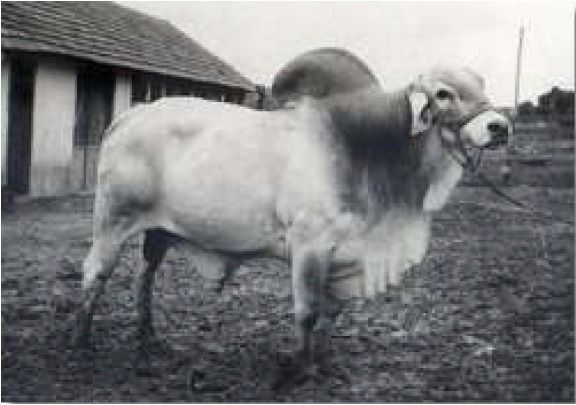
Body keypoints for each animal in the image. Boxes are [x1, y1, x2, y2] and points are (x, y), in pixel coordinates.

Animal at [75, 59, 508, 370]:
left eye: (483, 83)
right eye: (444, 92)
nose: (500, 126)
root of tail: (134, 113)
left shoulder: (342, 257)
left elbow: (332, 312)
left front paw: (325, 360)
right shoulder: (309, 245)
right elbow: (308, 312)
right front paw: (301, 366)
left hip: (158, 233)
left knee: (144, 277)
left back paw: (148, 336)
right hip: (112, 222)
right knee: (95, 274)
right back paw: (82, 343)